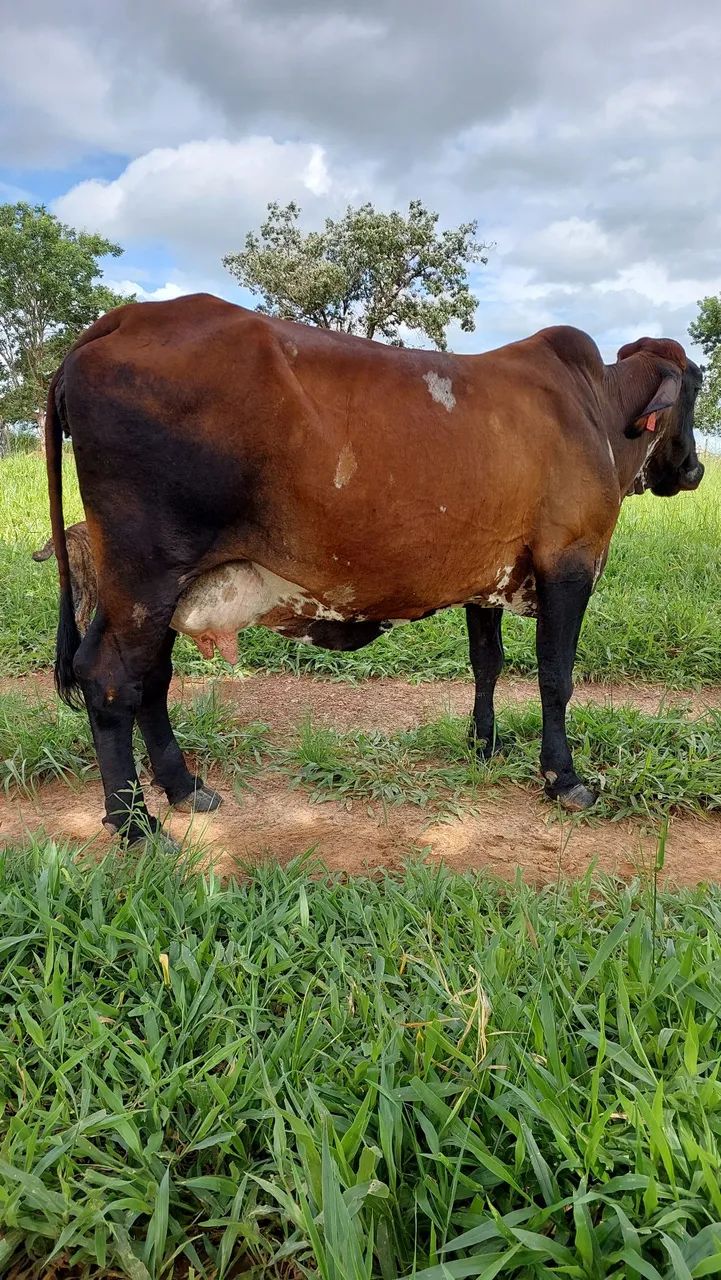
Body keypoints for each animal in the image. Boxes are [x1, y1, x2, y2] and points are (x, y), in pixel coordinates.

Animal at [44, 294, 703, 846]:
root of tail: (121, 318)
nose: (694, 470)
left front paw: (483, 743)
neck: (598, 411)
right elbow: (555, 677)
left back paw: (183, 788)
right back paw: (135, 824)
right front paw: (563, 778)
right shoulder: (570, 561)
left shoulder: (487, 576)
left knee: (149, 678)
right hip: (146, 574)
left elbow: (487, 663)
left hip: (149, 586)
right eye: (696, 388)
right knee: (110, 678)